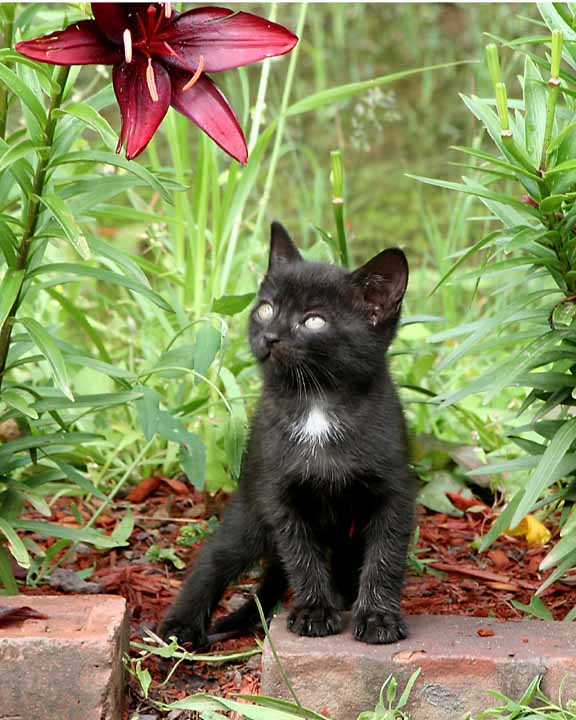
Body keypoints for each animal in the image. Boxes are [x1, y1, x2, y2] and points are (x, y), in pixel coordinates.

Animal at [160, 221, 416, 648]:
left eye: (313, 321)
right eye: (266, 309)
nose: (270, 336)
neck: (317, 404)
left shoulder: (394, 491)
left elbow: (386, 555)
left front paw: (378, 616)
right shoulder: (280, 494)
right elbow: (300, 554)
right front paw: (314, 611)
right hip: (249, 510)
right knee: (215, 558)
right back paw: (180, 626)